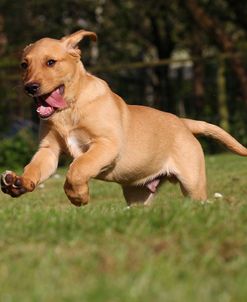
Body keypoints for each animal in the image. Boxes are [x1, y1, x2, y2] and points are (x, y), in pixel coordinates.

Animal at [1, 30, 247, 205]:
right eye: (24, 65)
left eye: (51, 62)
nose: (30, 87)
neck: (69, 110)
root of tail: (182, 121)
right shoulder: (49, 150)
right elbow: (35, 167)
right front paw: (19, 183)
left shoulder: (106, 144)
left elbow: (78, 167)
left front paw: (78, 196)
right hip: (138, 195)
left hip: (192, 182)